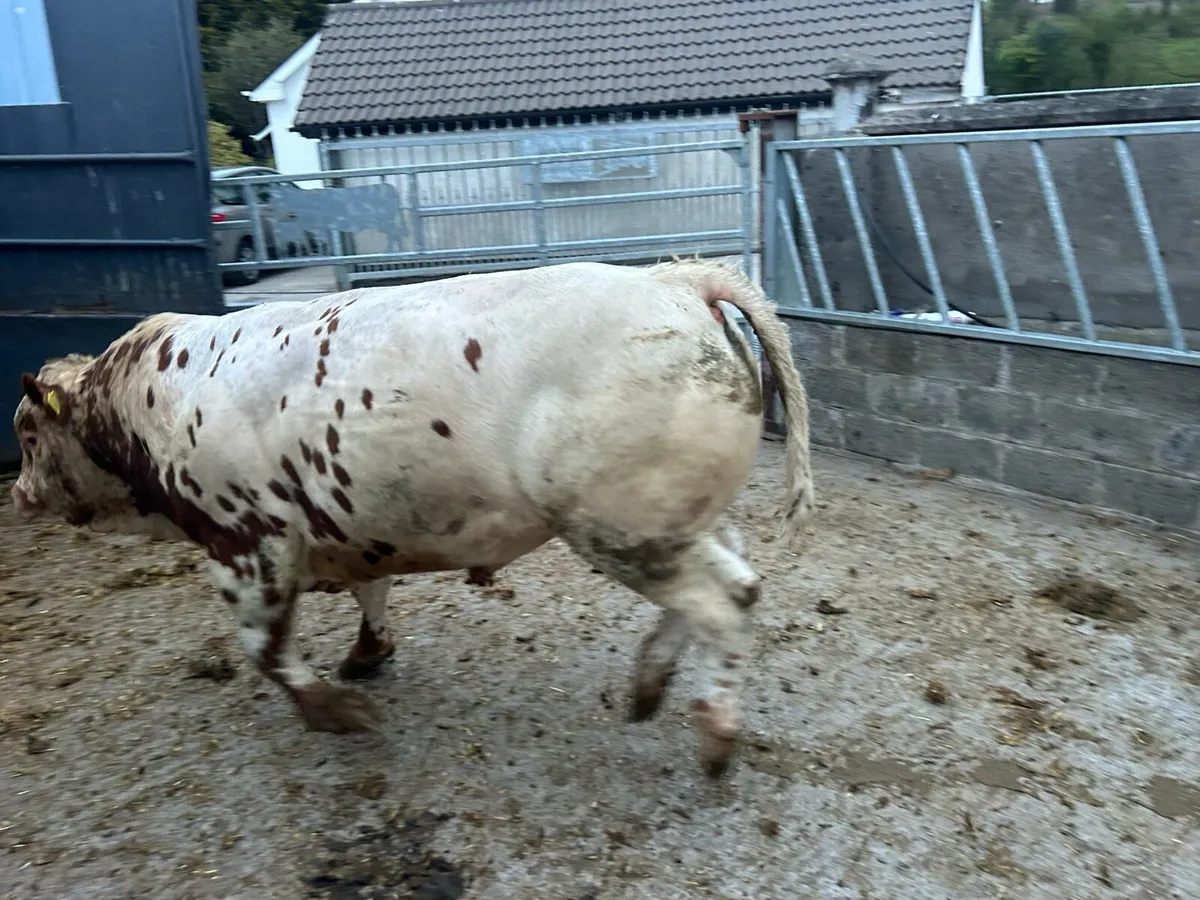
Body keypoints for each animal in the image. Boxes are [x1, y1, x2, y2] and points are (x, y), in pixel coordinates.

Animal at [12, 258, 813, 777]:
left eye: (25, 435)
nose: (19, 495)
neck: (145, 402)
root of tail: (674, 278)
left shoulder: (248, 540)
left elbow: (264, 647)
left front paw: (335, 712)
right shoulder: (354, 525)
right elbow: (372, 593)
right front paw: (368, 655)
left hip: (623, 523)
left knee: (727, 598)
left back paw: (714, 732)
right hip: (674, 515)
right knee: (731, 577)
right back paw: (651, 682)